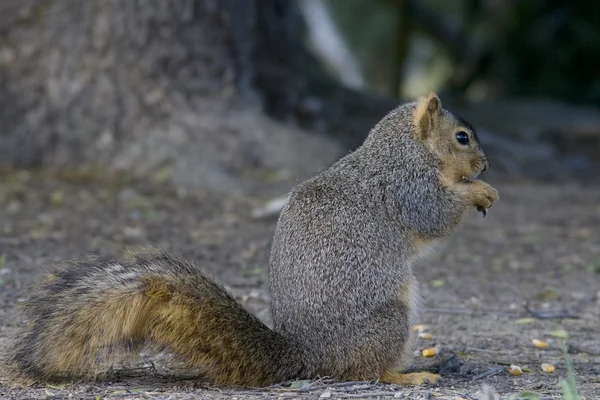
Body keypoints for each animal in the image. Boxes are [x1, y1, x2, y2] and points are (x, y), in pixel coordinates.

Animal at [8, 93, 496, 388]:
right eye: (461, 137)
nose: (485, 165)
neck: (405, 149)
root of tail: (306, 355)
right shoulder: (406, 187)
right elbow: (433, 214)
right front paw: (477, 191)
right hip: (389, 319)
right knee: (367, 370)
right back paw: (409, 376)